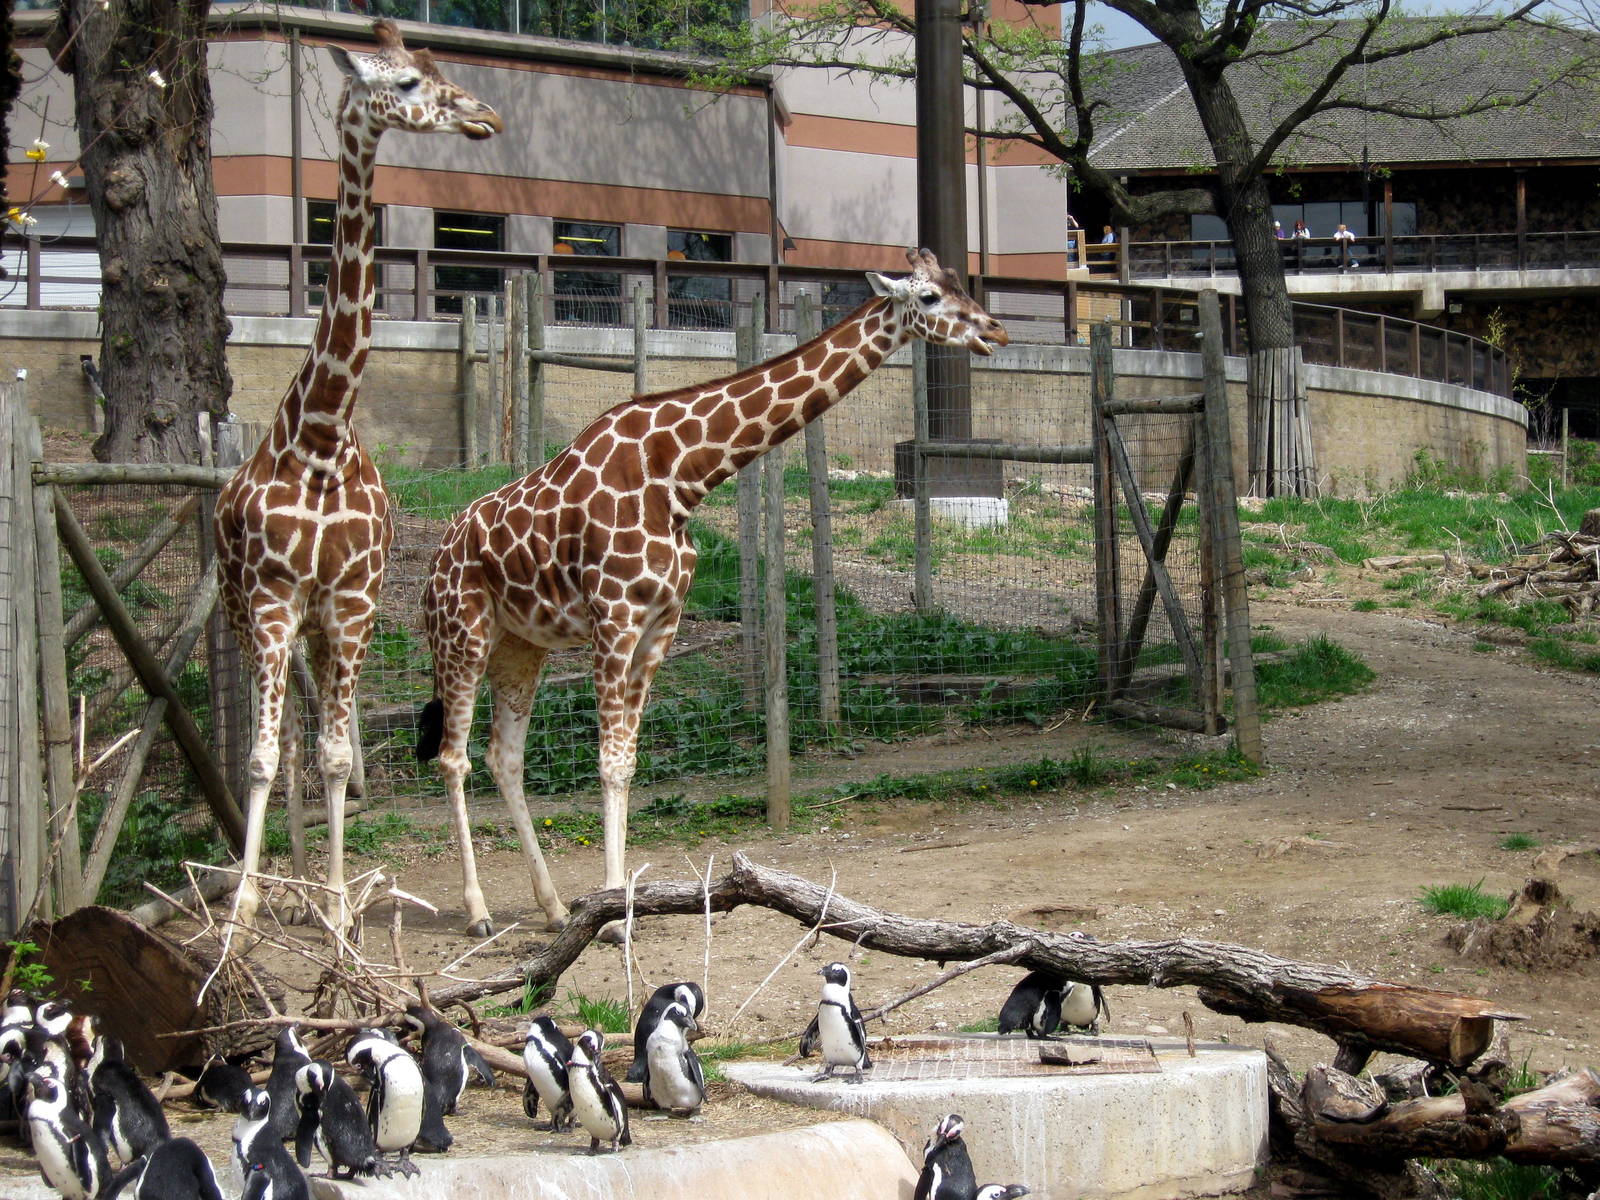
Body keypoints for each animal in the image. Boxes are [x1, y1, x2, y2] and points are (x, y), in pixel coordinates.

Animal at [214, 21, 501, 933]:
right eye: (405, 81)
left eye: (441, 70)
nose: (484, 117)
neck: (319, 436)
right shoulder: (273, 600)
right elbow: (263, 757)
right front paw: (244, 910)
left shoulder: (349, 605)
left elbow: (338, 754)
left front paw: (340, 905)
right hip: (249, 617)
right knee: (276, 747)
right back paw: (284, 888)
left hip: (319, 628)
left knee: (311, 741)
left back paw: (314, 890)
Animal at [417, 248, 1008, 937]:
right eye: (931, 298)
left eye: (959, 283)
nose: (995, 330)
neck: (680, 476)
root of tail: (434, 563)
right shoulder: (614, 619)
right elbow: (609, 762)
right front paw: (613, 918)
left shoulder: (661, 625)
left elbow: (628, 761)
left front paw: (610, 908)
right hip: (461, 636)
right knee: (453, 756)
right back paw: (478, 912)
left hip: (519, 647)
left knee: (502, 757)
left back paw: (556, 906)